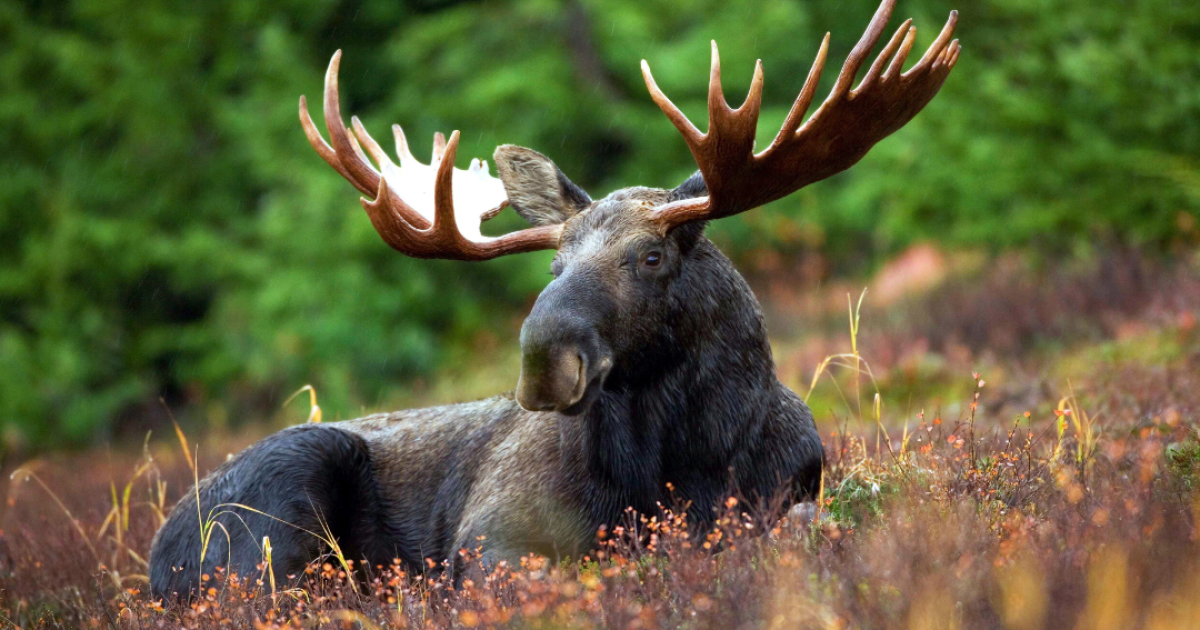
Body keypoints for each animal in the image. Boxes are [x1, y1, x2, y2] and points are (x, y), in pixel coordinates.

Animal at [149, 0, 959, 598]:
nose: (544, 361)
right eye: (553, 266)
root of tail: (158, 555)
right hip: (282, 498)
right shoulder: (491, 536)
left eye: (652, 256)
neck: (683, 465)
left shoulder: (792, 493)